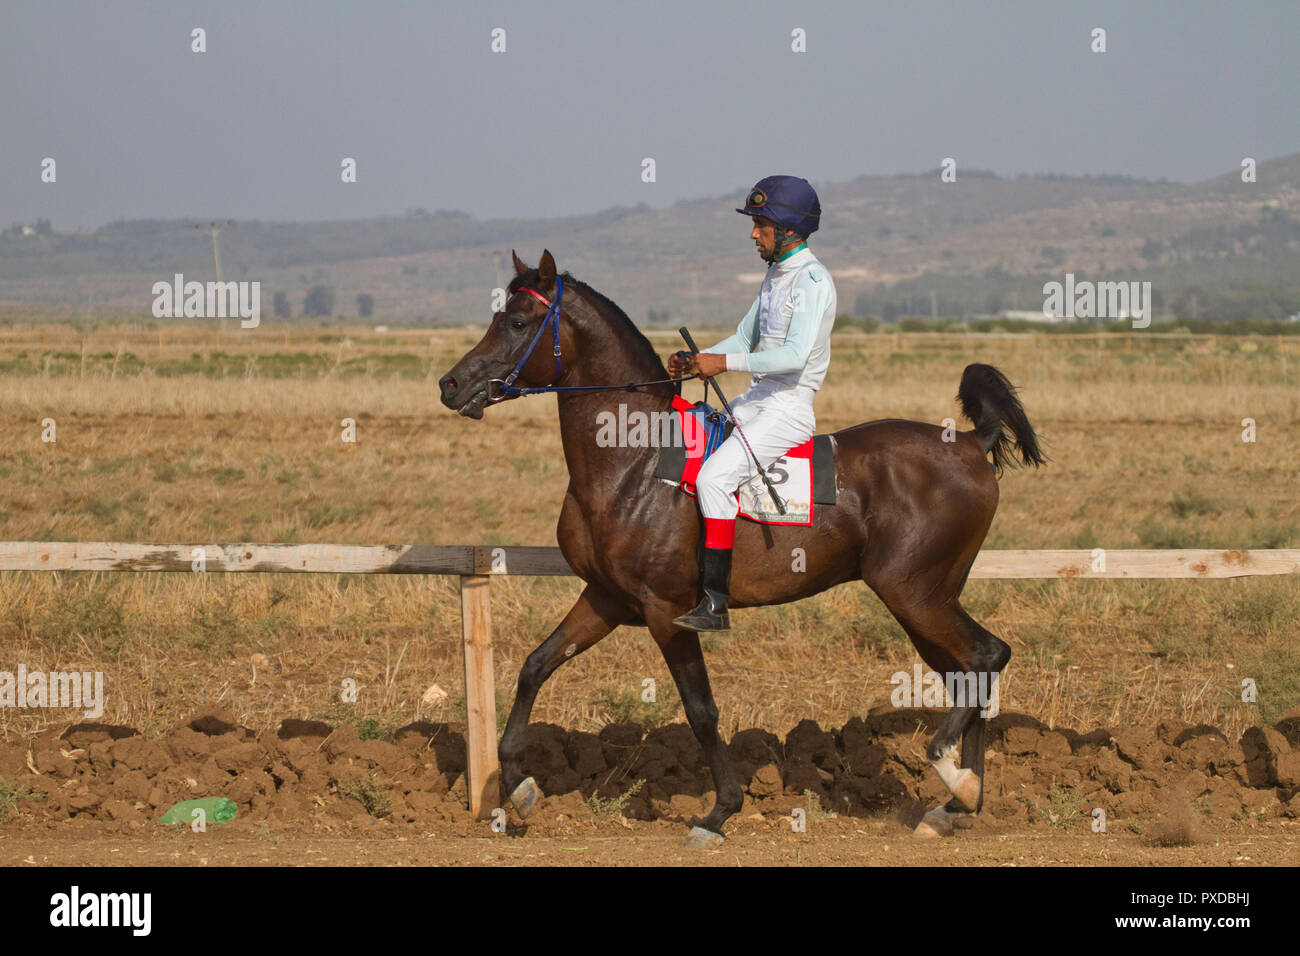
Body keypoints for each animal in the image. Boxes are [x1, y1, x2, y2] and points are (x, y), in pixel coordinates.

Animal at [436, 251, 1045, 848]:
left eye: (518, 322)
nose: (450, 384)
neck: (635, 461)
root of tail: (970, 443)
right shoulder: (606, 599)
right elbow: (535, 666)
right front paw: (517, 783)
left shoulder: (667, 611)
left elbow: (701, 711)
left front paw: (719, 812)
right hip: (925, 602)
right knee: (969, 673)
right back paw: (955, 803)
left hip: (914, 594)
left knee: (986, 656)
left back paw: (954, 777)